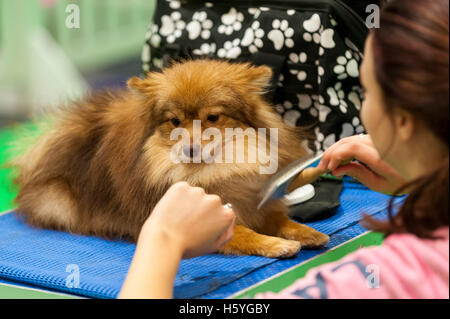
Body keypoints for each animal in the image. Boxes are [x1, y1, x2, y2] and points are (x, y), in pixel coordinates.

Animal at [12, 60, 328, 260]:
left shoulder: (256, 202)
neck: (215, 170)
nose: (189, 148)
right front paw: (276, 244)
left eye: (213, 118)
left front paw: (306, 232)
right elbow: (245, 233)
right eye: (175, 122)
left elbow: (280, 218)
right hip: (61, 203)